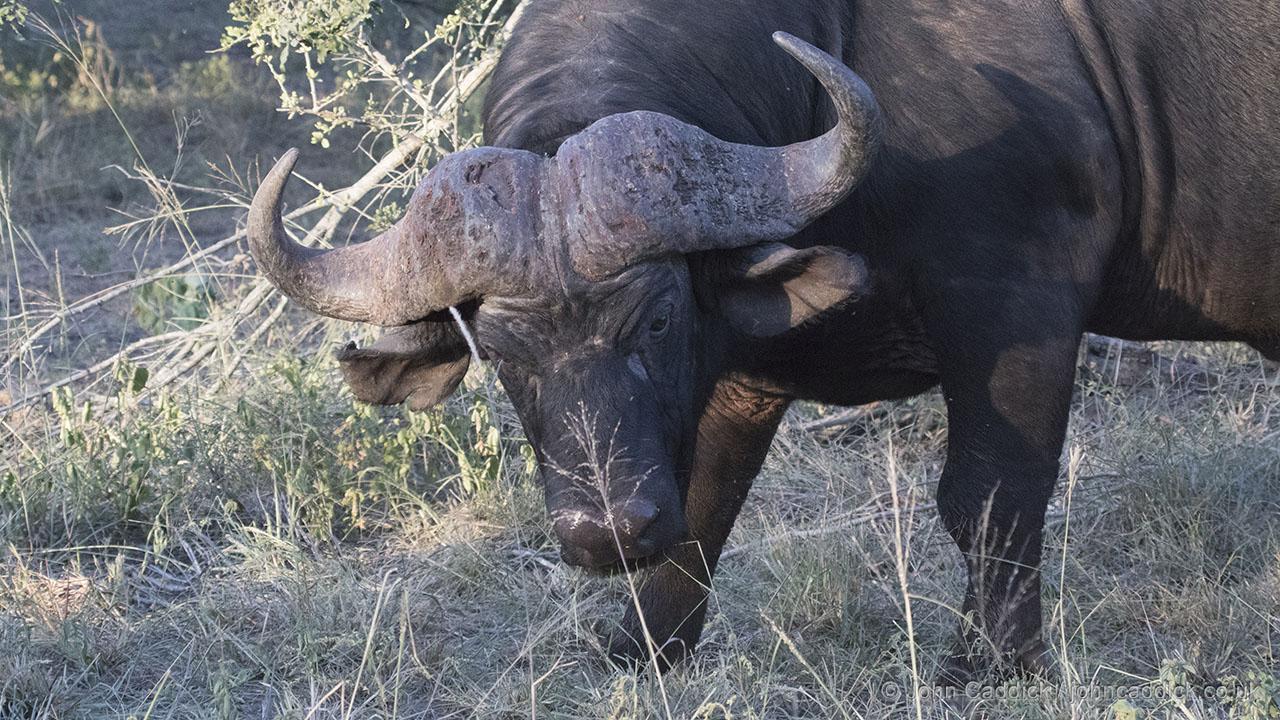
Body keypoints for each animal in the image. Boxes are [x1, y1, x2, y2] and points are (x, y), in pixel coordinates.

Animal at [248, 0, 1280, 679]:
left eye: (658, 316)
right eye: (499, 352)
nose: (603, 533)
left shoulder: (1016, 307)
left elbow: (989, 500)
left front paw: (993, 662)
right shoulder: (744, 378)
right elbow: (702, 509)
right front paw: (643, 645)